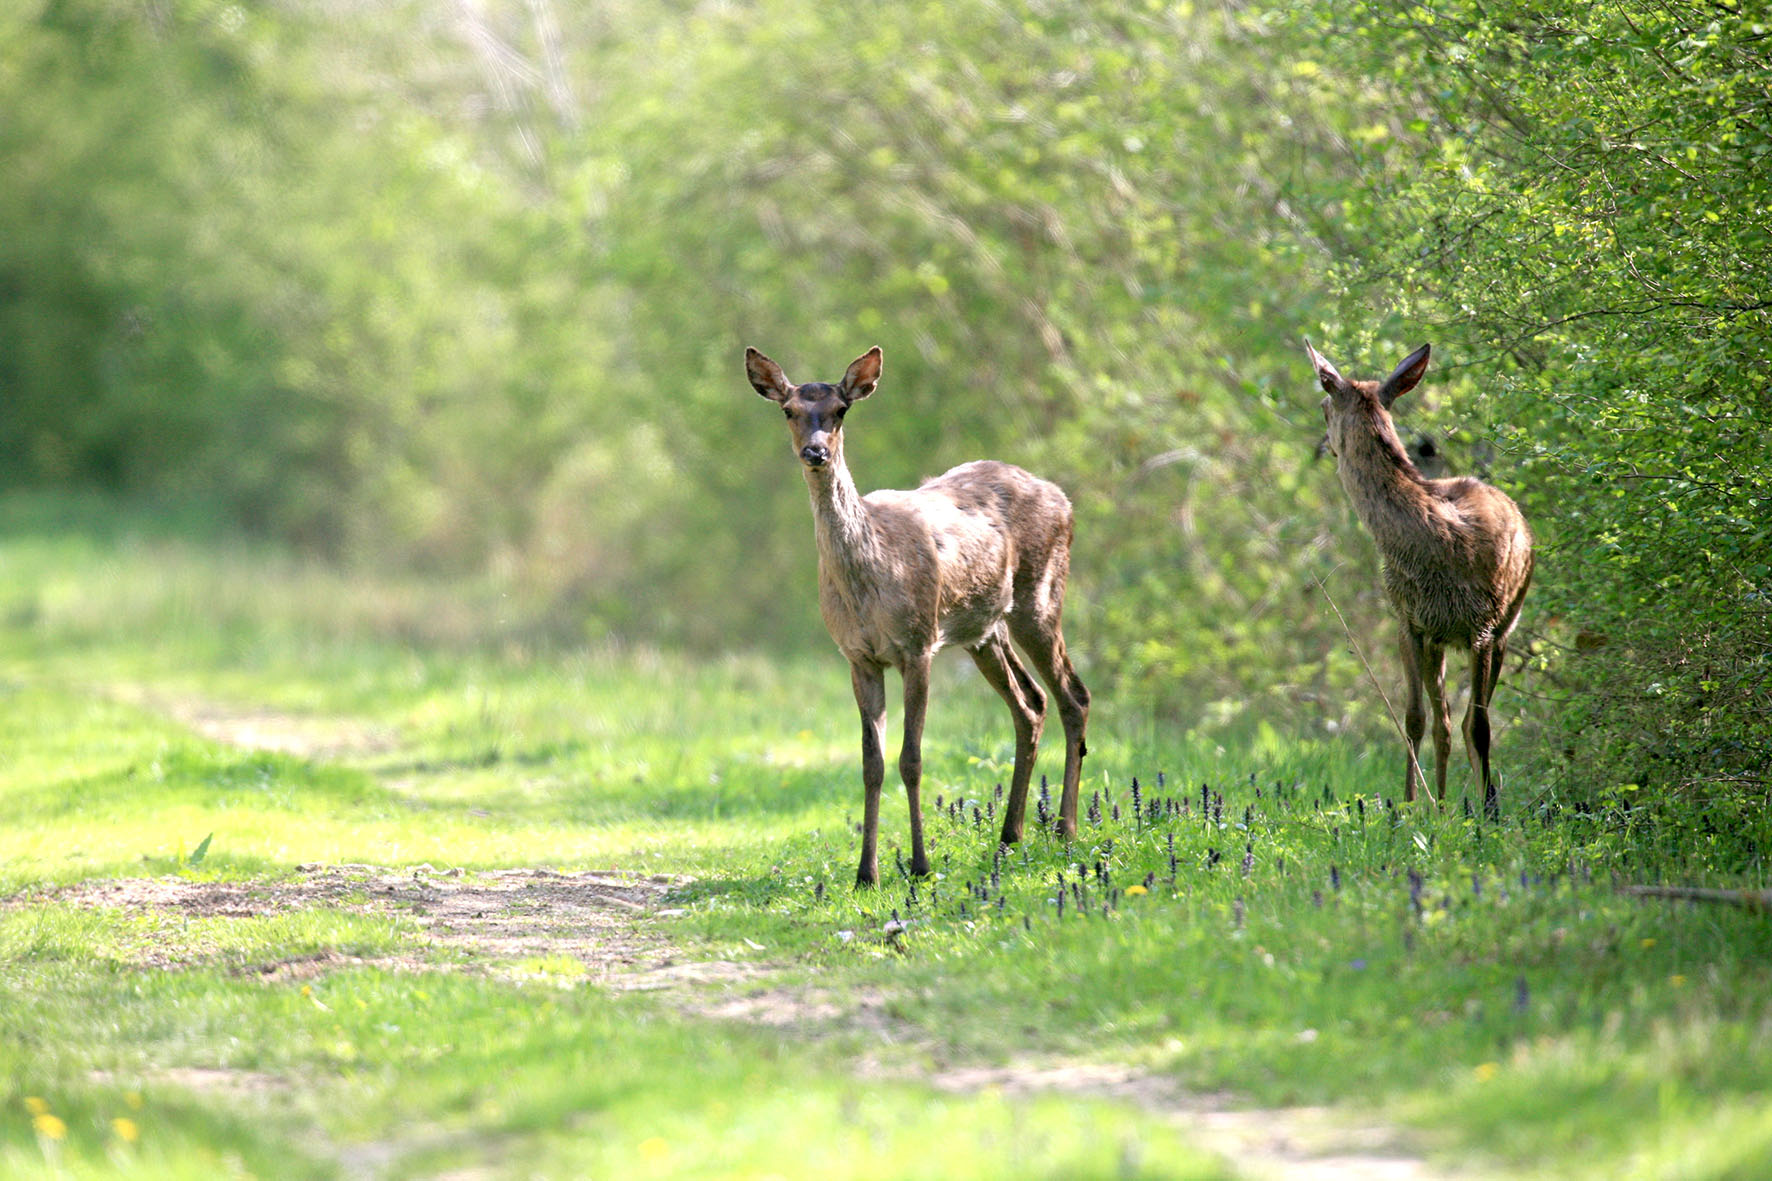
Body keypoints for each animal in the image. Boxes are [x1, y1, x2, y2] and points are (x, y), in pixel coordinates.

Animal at [740, 340, 1084, 883]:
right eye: (789, 410)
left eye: (840, 410)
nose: (815, 452)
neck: (868, 581)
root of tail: (1063, 498)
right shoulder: (858, 655)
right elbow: (872, 764)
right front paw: (867, 873)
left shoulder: (918, 644)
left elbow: (911, 758)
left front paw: (919, 865)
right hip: (984, 630)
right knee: (1031, 705)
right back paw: (1010, 836)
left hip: (1042, 596)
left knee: (1073, 695)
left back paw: (1065, 829)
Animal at [1304, 340, 1538, 819]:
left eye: (1323, 406)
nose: (1324, 446)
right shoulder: (1409, 621)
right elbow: (1416, 718)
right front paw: (1416, 803)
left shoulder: (1481, 626)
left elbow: (1480, 725)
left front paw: (1483, 811)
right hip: (1439, 641)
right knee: (1443, 719)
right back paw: (1447, 799)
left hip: (1506, 626)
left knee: (1467, 721)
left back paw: (1478, 800)